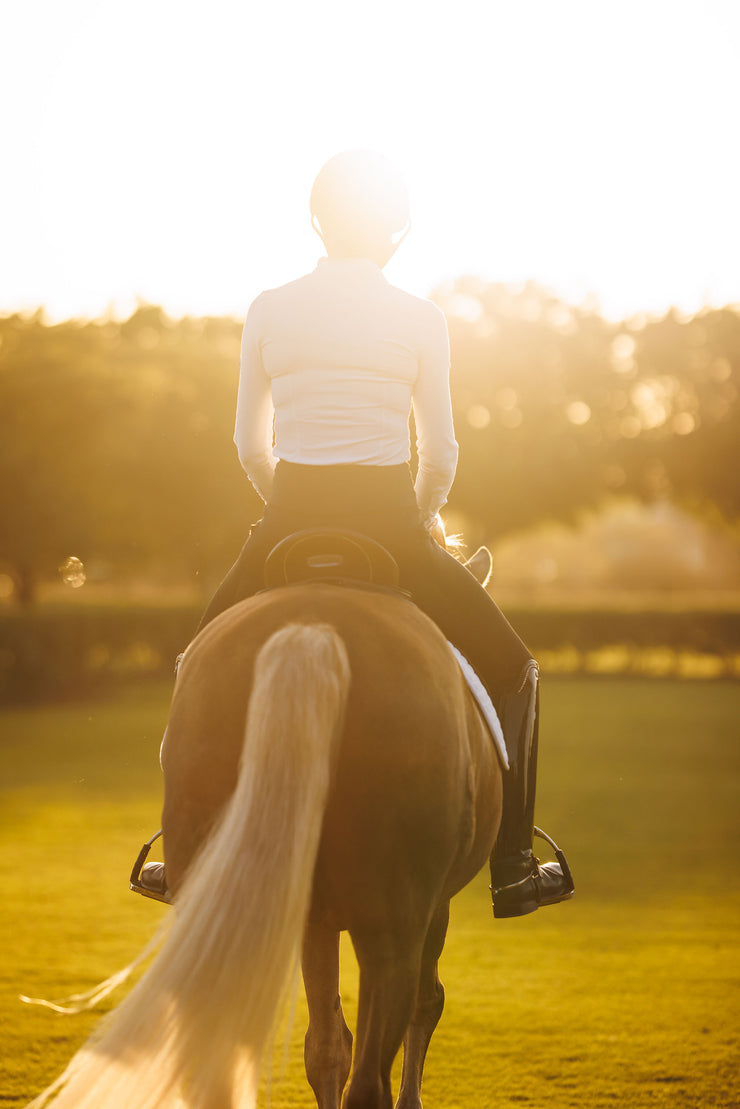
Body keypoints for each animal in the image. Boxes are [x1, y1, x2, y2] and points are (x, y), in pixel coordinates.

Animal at [27, 572, 503, 1109]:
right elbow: (426, 1003)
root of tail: (312, 629)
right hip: (391, 927)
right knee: (370, 1080)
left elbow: (327, 1045)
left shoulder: (315, 920)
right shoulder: (430, 907)